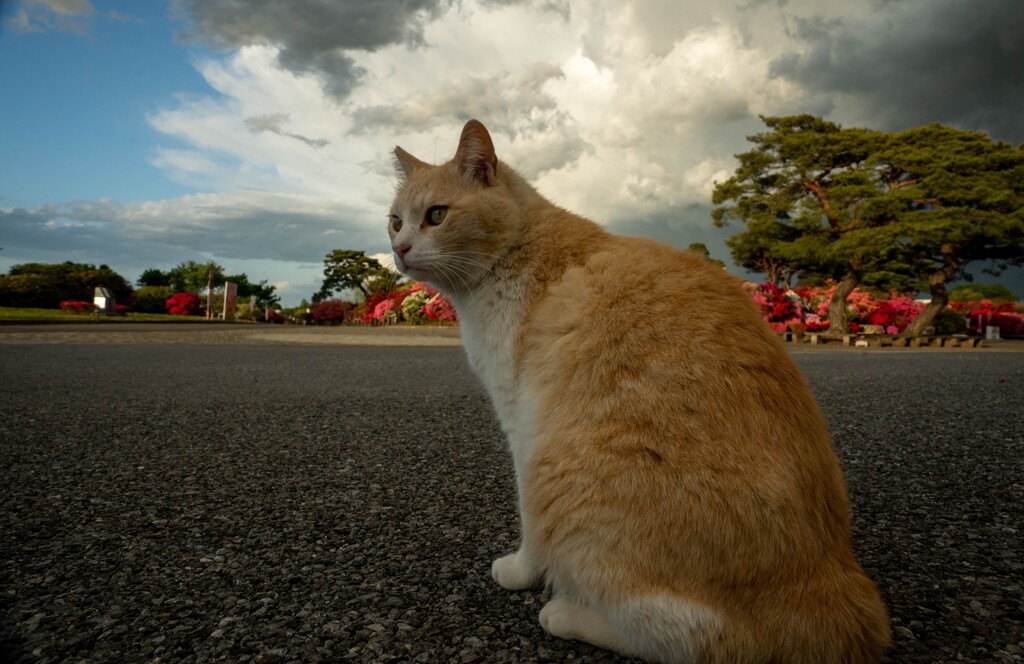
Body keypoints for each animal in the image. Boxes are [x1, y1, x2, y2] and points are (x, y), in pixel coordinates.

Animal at [387, 120, 892, 664]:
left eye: (436, 216)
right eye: (395, 222)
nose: (399, 250)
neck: (518, 251)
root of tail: (838, 589)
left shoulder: (522, 426)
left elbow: (529, 526)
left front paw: (522, 571)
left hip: (559, 468)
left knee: (696, 639)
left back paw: (565, 614)